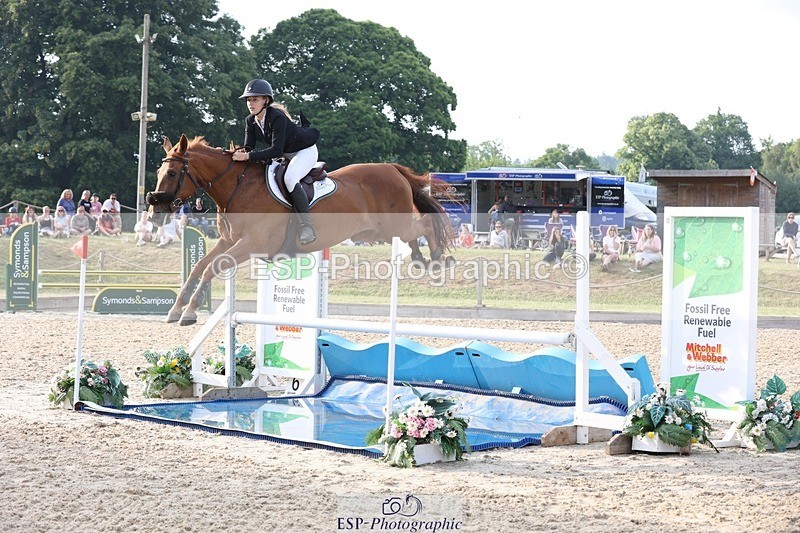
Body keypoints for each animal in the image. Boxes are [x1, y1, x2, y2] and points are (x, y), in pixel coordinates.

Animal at [147, 134, 454, 326]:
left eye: (172, 173)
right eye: (159, 173)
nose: (154, 214)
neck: (238, 187)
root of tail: (392, 168)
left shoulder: (252, 244)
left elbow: (212, 268)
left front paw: (189, 313)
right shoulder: (228, 241)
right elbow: (199, 267)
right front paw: (176, 309)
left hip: (392, 226)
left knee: (426, 224)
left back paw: (439, 257)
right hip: (376, 233)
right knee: (413, 236)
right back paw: (421, 258)